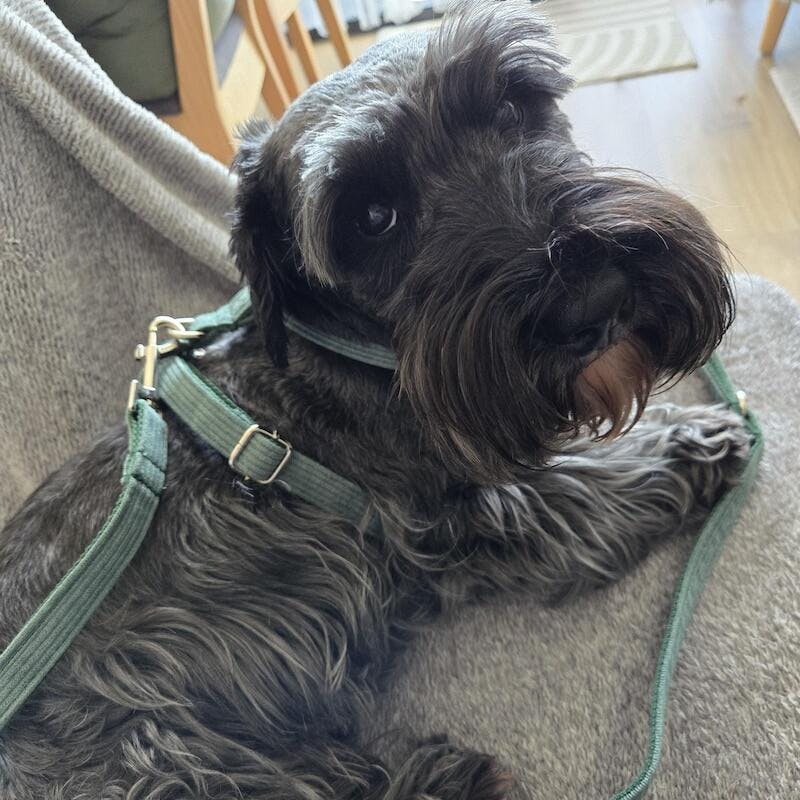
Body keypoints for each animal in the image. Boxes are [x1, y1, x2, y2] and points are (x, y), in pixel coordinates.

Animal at [0, 2, 750, 797]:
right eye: (371, 217)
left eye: (512, 105)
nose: (593, 299)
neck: (345, 348)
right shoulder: (469, 514)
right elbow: (590, 483)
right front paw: (692, 442)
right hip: (165, 757)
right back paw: (447, 777)